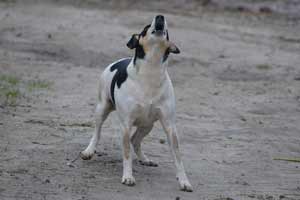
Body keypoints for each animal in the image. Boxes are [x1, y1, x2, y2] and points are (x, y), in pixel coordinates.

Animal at [79, 14, 192, 192]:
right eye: (146, 27)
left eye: (167, 31)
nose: (160, 16)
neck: (151, 71)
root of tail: (117, 61)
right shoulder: (126, 124)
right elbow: (126, 154)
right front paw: (128, 177)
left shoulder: (169, 126)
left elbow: (178, 157)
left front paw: (184, 181)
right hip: (102, 109)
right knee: (97, 133)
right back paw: (89, 151)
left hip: (147, 125)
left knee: (135, 141)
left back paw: (144, 159)